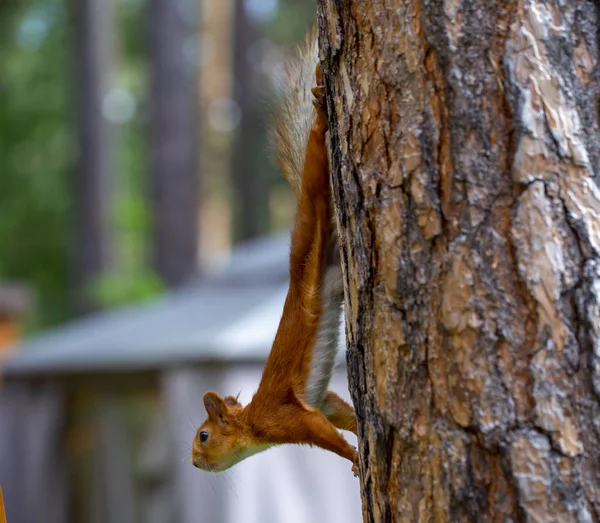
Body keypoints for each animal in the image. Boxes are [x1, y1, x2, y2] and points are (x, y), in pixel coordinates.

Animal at [192, 29, 358, 478]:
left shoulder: (288, 419)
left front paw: (357, 460)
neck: (253, 424)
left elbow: (328, 437)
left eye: (203, 436)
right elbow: (341, 412)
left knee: (317, 154)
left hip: (311, 210)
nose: (193, 461)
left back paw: (320, 110)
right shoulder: (322, 403)